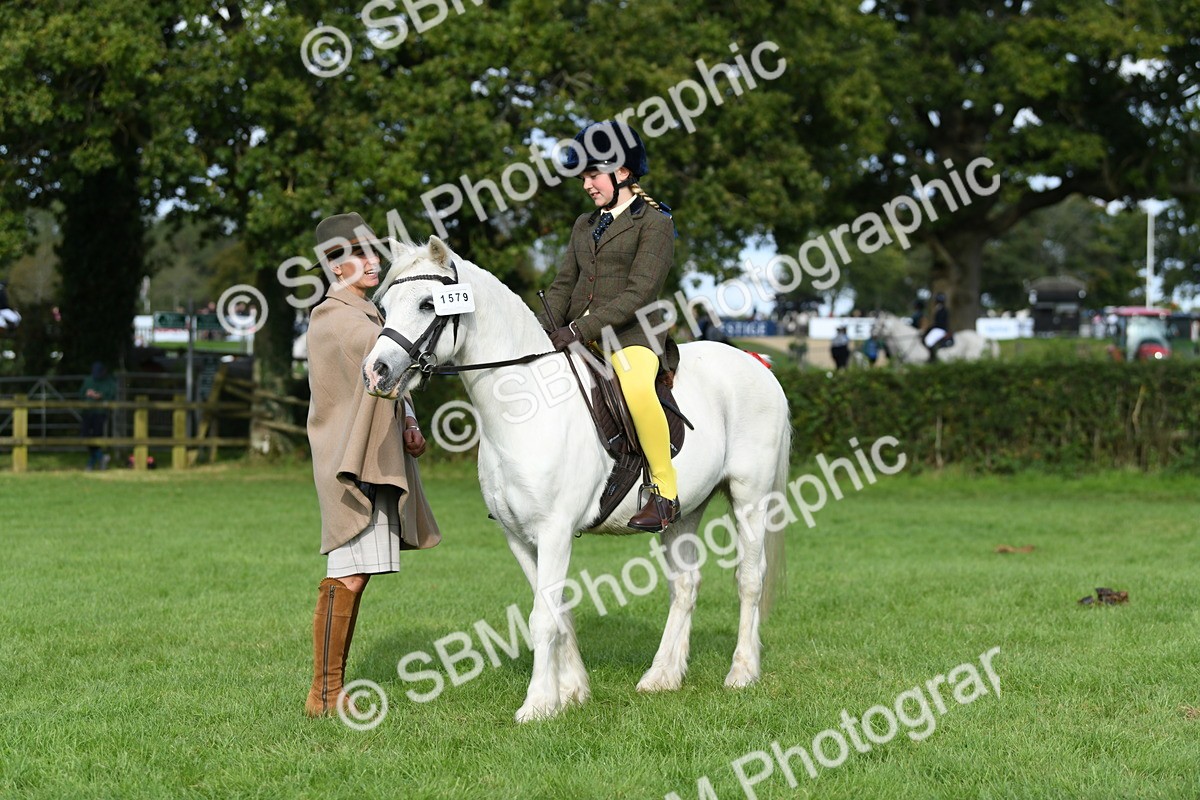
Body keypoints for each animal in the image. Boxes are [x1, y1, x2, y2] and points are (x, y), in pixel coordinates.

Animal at [362, 237, 791, 722]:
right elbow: (557, 610)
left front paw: (536, 705)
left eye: (426, 303)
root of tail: (757, 364)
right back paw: (663, 676)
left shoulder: (554, 531)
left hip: (750, 497)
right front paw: (569, 693)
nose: (375, 372)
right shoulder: (518, 536)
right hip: (683, 512)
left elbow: (542, 617)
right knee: (685, 585)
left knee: (750, 578)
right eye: (382, 307)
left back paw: (742, 672)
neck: (524, 404)